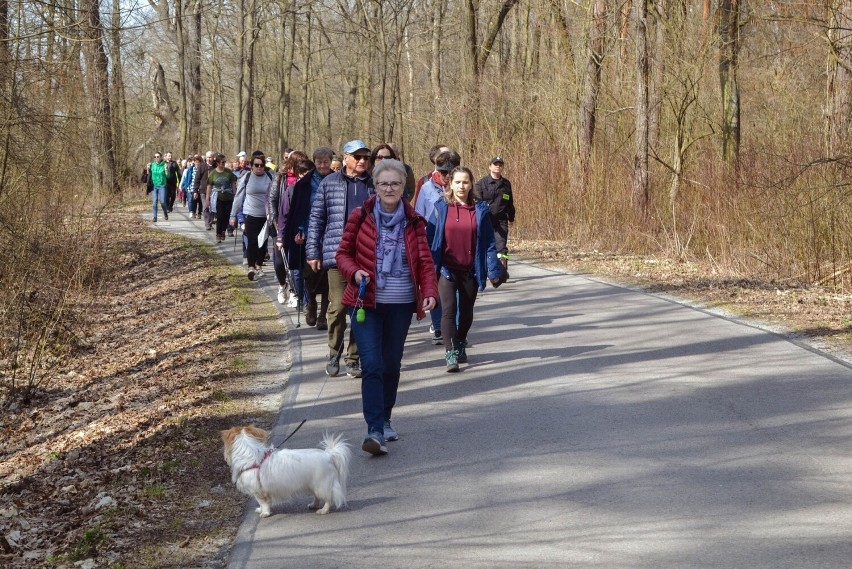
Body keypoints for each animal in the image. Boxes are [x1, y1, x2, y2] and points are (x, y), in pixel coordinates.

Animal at [223, 424, 352, 516]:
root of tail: (329, 455)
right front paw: (260, 510)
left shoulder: (258, 492)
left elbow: (263, 503)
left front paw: (264, 513)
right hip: (314, 485)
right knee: (318, 497)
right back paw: (313, 505)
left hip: (322, 485)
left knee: (328, 498)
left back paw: (323, 510)